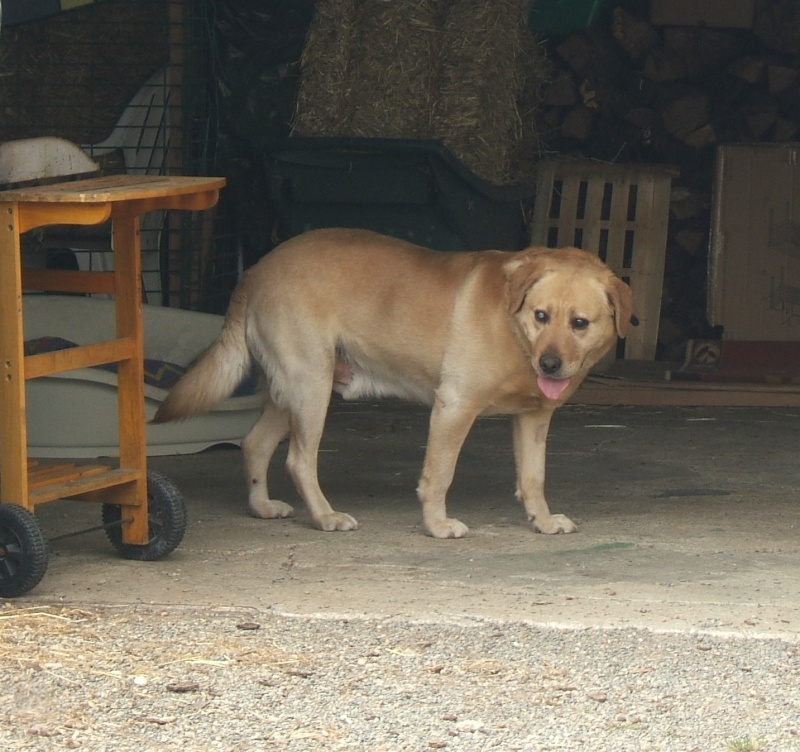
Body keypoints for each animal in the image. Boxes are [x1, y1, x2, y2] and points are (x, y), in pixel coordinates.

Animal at [155, 226, 632, 536]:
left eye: (579, 323)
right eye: (541, 316)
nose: (550, 364)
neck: (515, 332)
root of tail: (256, 269)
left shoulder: (534, 420)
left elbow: (534, 478)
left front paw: (544, 521)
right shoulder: (454, 406)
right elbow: (439, 475)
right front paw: (437, 525)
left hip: (296, 388)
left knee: (255, 443)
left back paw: (261, 506)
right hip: (311, 386)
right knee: (299, 460)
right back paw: (325, 517)